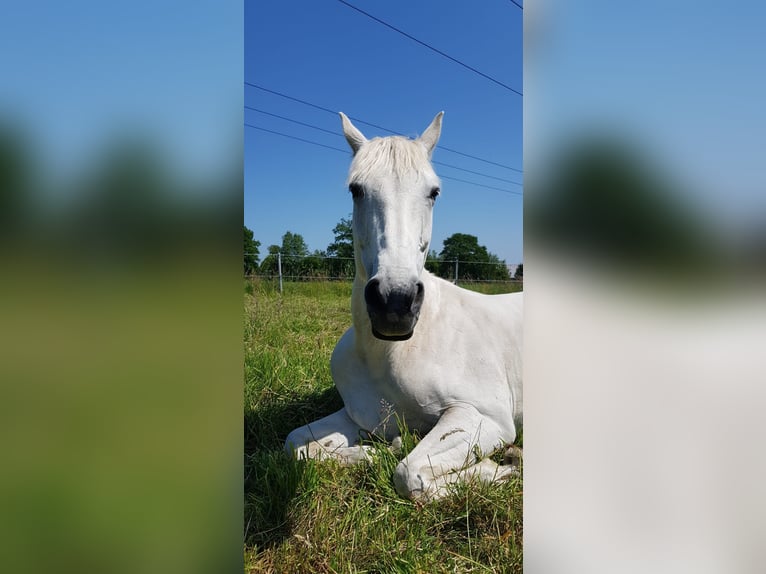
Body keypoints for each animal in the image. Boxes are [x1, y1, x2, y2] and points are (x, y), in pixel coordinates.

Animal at [284, 113, 524, 504]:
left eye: (434, 192)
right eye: (356, 189)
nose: (395, 303)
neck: (392, 353)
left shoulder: (485, 417)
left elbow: (410, 474)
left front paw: (497, 469)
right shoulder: (357, 417)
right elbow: (296, 445)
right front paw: (374, 451)